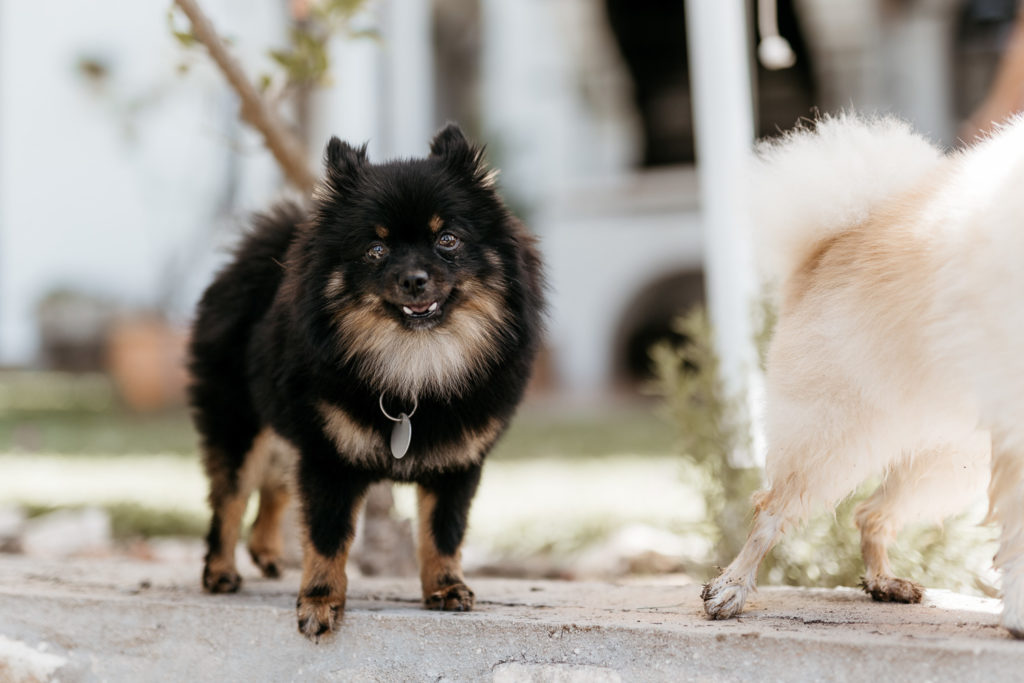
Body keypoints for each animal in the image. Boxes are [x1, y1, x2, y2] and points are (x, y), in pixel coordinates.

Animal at [188, 122, 548, 643]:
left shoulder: (457, 464)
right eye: (375, 249)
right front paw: (320, 601)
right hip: (239, 423)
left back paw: (266, 551)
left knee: (275, 484)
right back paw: (220, 570)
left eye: (448, 239)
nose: (415, 279)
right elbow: (327, 537)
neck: (415, 365)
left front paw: (445, 586)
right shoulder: (328, 459)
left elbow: (443, 531)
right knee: (229, 497)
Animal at [704, 114, 1024, 638]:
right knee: (772, 510)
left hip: (948, 459)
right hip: (832, 436)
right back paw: (730, 589)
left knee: (871, 514)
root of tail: (832, 241)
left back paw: (882, 583)